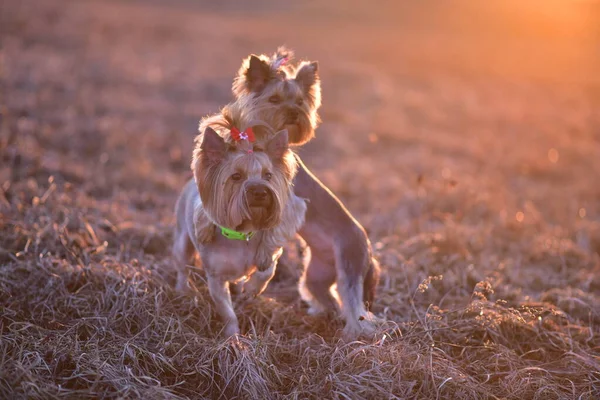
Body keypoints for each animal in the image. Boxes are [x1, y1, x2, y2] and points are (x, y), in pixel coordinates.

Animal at [172, 126, 304, 338]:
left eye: (268, 175)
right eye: (236, 176)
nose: (260, 192)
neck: (243, 233)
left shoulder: (270, 250)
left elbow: (267, 269)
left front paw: (252, 288)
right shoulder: (216, 278)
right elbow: (226, 310)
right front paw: (233, 337)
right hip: (182, 239)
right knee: (182, 266)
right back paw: (183, 291)